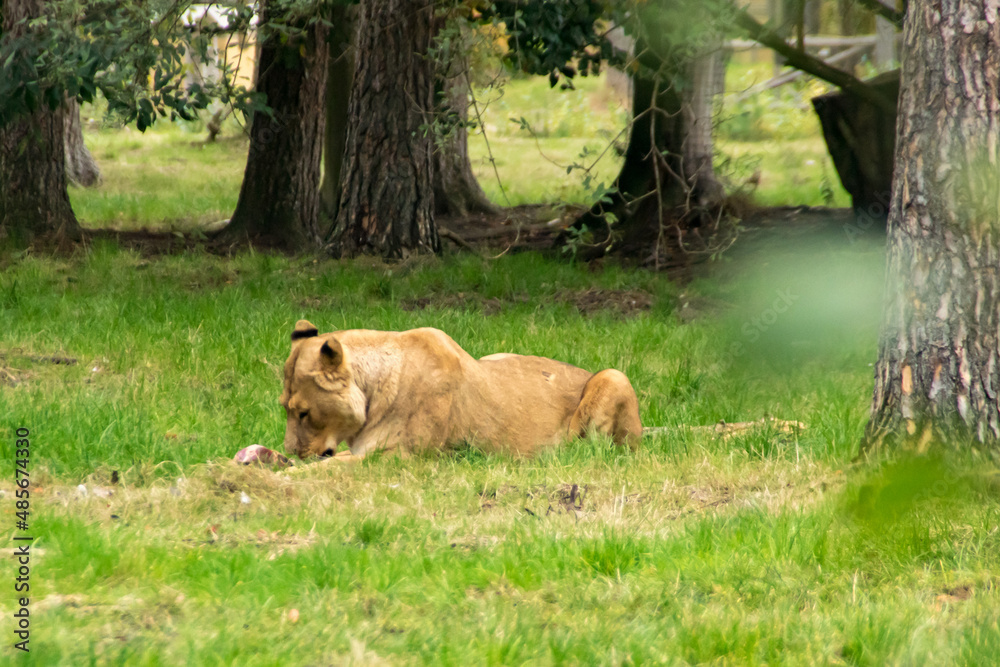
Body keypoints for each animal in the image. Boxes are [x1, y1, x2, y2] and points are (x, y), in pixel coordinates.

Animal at [279, 319, 642, 462]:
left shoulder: (397, 458)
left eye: (304, 412)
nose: (292, 452)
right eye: (284, 408)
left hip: (614, 376)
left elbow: (325, 470)